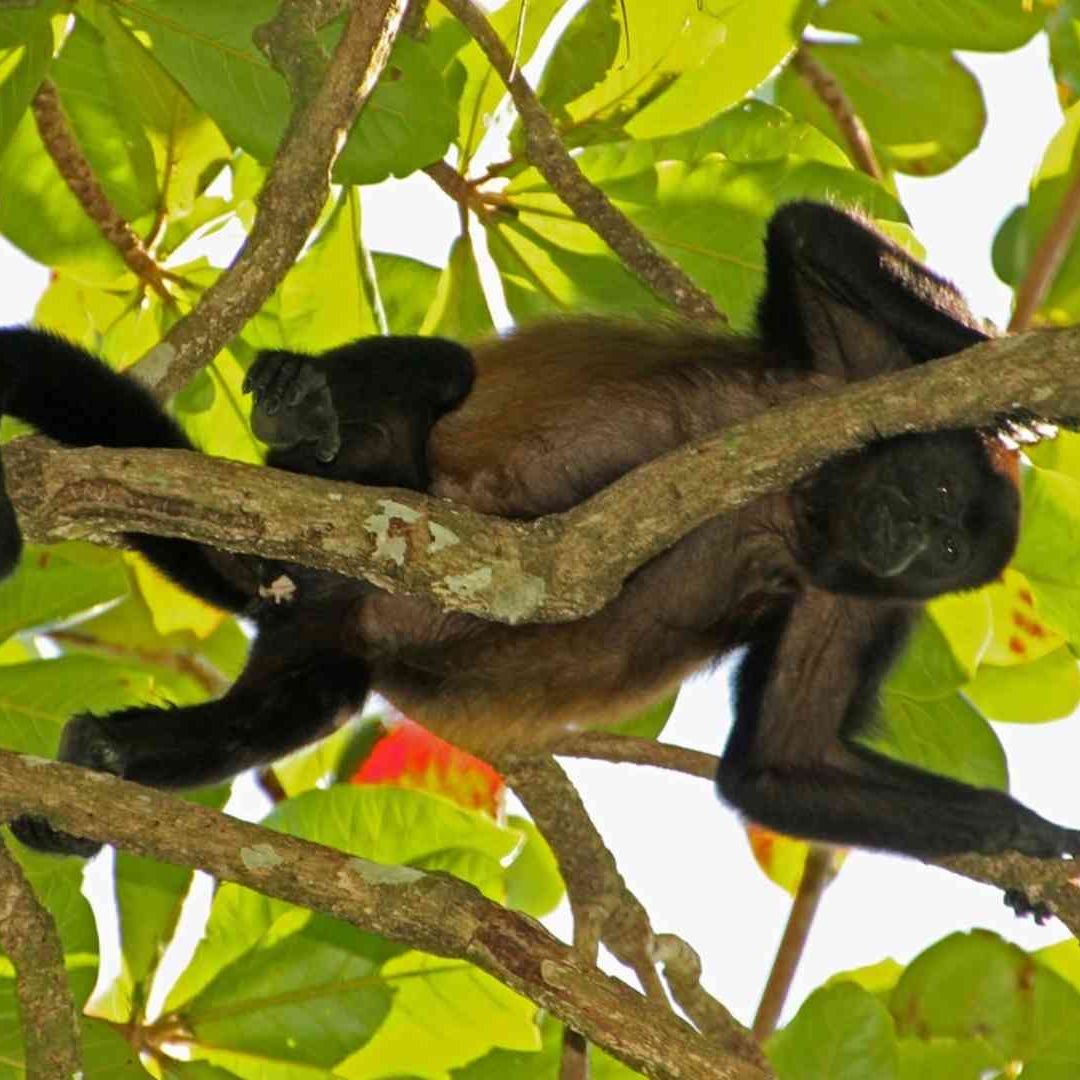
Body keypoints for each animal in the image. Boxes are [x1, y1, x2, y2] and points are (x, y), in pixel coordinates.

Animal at [2, 200, 1075, 869]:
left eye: (947, 554)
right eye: (934, 488)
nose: (907, 538)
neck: (805, 505)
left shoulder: (849, 603)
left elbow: (780, 763)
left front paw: (1024, 834)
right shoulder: (848, 380)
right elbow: (808, 234)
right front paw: (1007, 382)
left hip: (319, 631)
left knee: (307, 703)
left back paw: (107, 755)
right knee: (438, 374)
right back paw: (308, 417)